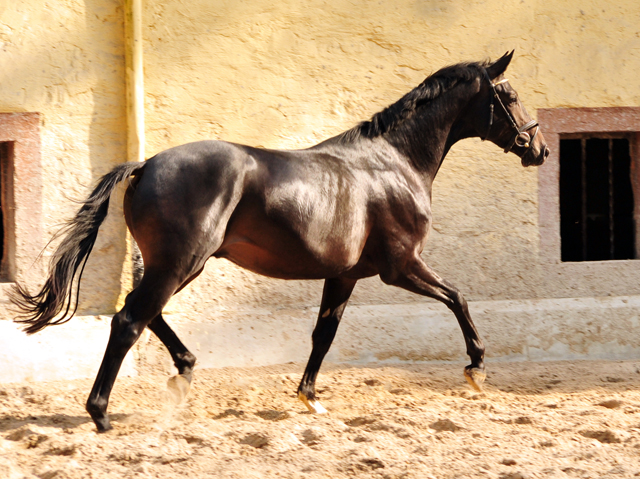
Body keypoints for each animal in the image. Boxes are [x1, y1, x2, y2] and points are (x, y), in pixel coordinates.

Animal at [12, 50, 548, 434]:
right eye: (509, 94)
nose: (538, 149)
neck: (393, 163)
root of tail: (146, 164)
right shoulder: (401, 267)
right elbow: (458, 297)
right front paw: (476, 368)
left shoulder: (345, 275)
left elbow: (323, 333)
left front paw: (310, 397)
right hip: (181, 261)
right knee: (129, 320)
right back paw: (101, 413)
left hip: (181, 263)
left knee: (144, 312)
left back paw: (184, 370)